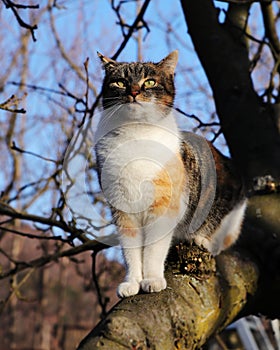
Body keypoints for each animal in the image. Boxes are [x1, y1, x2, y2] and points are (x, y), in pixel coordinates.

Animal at [94, 50, 247, 298]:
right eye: (120, 82)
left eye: (149, 82)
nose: (133, 92)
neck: (135, 135)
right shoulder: (122, 211)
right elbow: (131, 250)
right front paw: (132, 282)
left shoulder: (165, 206)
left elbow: (154, 249)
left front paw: (152, 279)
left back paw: (201, 239)